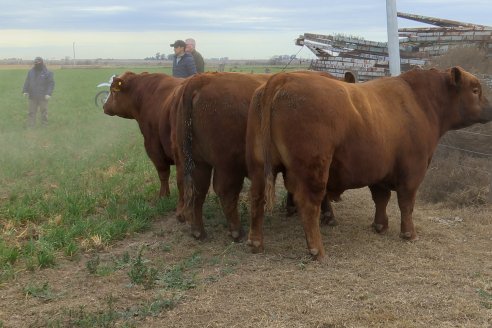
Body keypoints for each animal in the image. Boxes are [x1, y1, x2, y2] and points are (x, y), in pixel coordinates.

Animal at [248, 67, 492, 262]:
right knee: (308, 205)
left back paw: (256, 243)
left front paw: (380, 225)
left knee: (257, 199)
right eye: (475, 90)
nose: (491, 109)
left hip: (258, 167)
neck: (419, 103)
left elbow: (381, 199)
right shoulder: (412, 172)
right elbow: (406, 204)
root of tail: (283, 78)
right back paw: (317, 250)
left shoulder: (379, 172)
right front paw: (409, 234)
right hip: (313, 169)